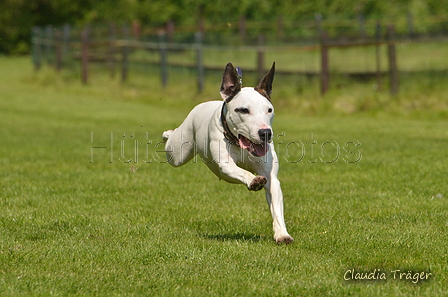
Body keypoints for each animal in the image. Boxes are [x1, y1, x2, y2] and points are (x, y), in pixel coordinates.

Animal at [163, 63, 292, 243]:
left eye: (269, 110)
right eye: (243, 110)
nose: (265, 133)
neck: (241, 144)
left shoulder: (271, 177)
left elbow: (276, 205)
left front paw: (282, 234)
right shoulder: (226, 165)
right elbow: (240, 171)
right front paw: (253, 180)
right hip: (178, 152)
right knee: (172, 146)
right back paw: (167, 133)